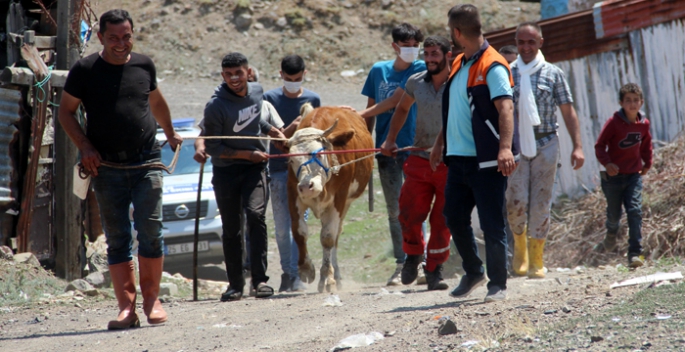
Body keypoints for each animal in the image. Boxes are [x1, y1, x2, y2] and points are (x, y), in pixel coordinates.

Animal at [288, 104, 374, 292]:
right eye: (291, 161)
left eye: (319, 154)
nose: (307, 186)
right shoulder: (293, 194)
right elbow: (299, 231)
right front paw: (306, 268)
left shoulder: (338, 199)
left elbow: (328, 237)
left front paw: (327, 277)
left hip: (346, 203)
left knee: (336, 235)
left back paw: (337, 276)